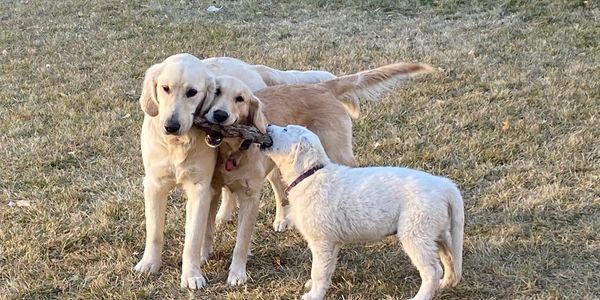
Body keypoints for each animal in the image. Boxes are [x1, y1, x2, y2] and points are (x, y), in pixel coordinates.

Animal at [262, 125, 464, 300]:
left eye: (286, 129)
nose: (268, 125)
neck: (310, 174)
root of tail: (443, 185)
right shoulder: (331, 243)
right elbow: (326, 270)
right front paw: (314, 286)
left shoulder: (322, 242)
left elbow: (318, 270)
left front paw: (314, 295)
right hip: (434, 229)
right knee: (449, 257)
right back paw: (445, 283)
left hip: (416, 231)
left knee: (432, 270)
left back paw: (421, 296)